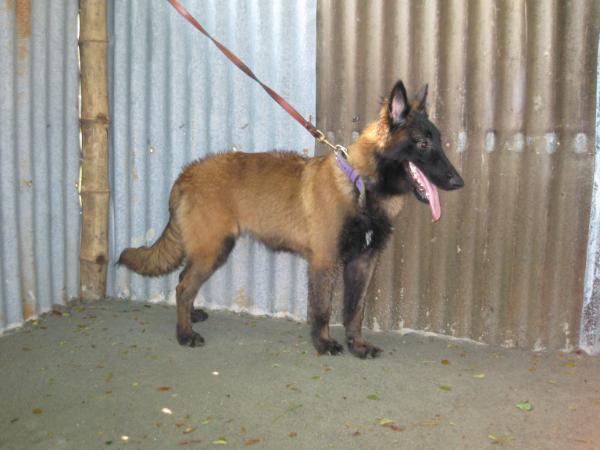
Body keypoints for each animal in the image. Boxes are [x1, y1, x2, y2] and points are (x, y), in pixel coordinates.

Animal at [118, 81, 464, 358]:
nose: (458, 181)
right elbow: (322, 310)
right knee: (182, 287)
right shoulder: (325, 262)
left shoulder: (363, 263)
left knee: (183, 281)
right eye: (422, 143)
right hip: (213, 250)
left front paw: (358, 346)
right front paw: (323, 344)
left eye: (439, 140)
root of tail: (187, 173)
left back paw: (190, 317)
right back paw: (184, 334)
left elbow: (355, 311)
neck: (361, 186)